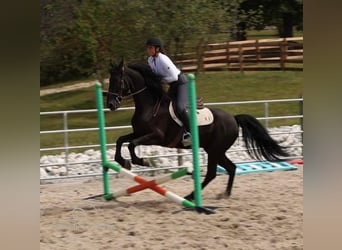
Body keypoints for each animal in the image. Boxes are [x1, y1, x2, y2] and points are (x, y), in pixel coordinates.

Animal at [105, 59, 288, 200]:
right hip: (215, 150)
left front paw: (141, 161)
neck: (150, 107)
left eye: (118, 81)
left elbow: (132, 144)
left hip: (215, 150)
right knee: (231, 168)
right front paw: (123, 161)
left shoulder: (156, 136)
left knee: (212, 173)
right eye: (110, 81)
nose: (111, 105)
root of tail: (233, 118)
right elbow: (121, 140)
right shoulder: (139, 132)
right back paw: (224, 194)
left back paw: (191, 196)